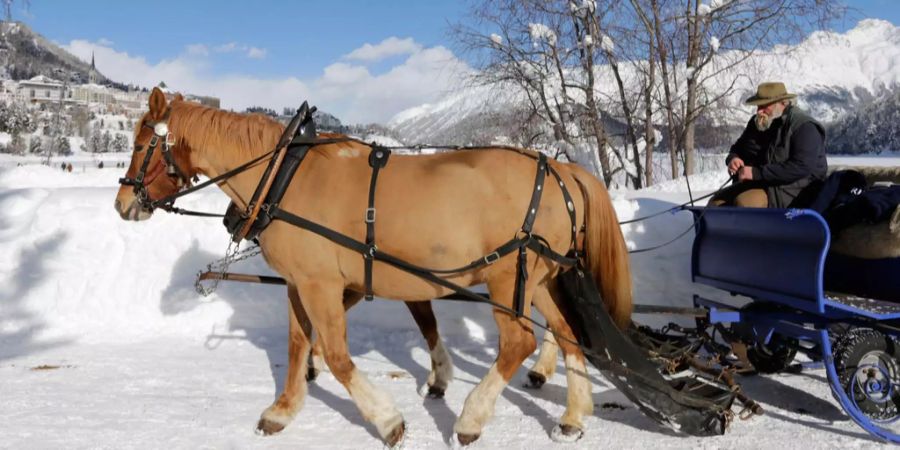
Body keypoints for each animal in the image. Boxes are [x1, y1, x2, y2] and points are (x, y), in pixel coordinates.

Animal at [114, 88, 632, 446]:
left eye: (140, 145)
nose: (122, 205)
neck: (283, 176)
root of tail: (562, 169)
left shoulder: (321, 283)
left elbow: (339, 356)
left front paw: (389, 421)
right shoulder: (300, 283)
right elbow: (299, 345)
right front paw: (283, 410)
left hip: (509, 278)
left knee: (519, 342)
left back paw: (470, 419)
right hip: (538, 279)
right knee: (568, 332)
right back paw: (572, 416)